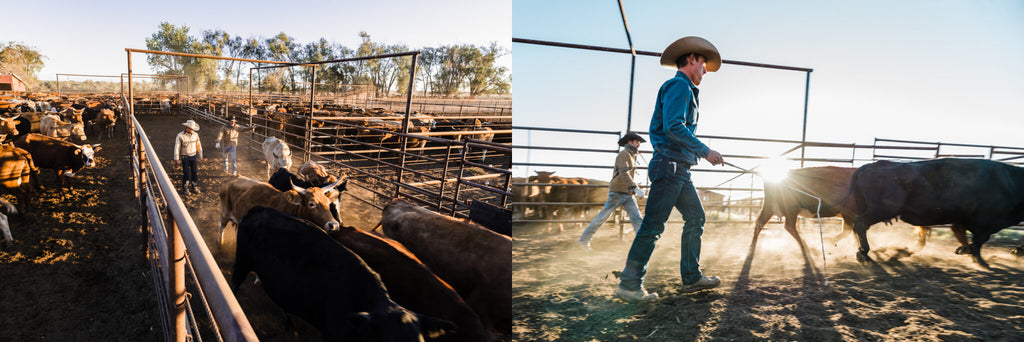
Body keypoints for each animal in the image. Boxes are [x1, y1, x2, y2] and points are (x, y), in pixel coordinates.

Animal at [234, 205, 458, 342]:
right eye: (387, 340)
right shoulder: (331, 333)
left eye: (419, 341)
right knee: (235, 282)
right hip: (242, 261)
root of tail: (258, 209)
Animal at [843, 158, 1024, 268]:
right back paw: (865, 254)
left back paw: (863, 252)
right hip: (880, 210)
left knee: (857, 227)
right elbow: (978, 242)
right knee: (860, 224)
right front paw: (978, 260)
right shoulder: (984, 224)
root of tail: (871, 166)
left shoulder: (961, 222)